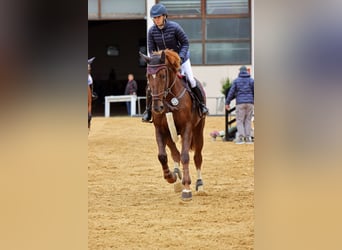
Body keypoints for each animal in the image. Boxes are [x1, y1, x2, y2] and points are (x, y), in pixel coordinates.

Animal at [140, 49, 206, 201]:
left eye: (163, 75)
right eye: (148, 76)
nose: (157, 107)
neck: (169, 99)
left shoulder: (187, 128)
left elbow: (185, 156)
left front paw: (187, 188)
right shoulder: (160, 129)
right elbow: (162, 156)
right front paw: (170, 177)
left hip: (198, 131)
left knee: (197, 157)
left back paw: (199, 185)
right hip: (169, 133)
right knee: (174, 153)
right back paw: (176, 176)